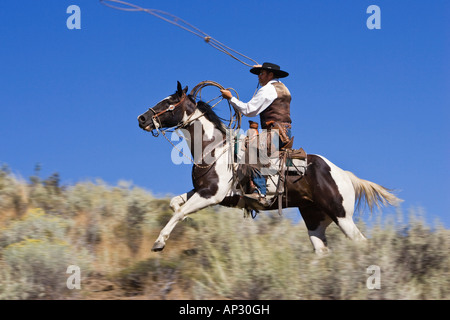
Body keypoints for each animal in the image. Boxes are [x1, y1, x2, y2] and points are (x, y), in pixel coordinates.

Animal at [137, 82, 400, 255]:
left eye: (170, 102)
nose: (142, 118)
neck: (213, 149)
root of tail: (343, 174)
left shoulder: (211, 195)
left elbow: (179, 212)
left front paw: (159, 242)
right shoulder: (201, 191)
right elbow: (175, 204)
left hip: (342, 215)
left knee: (361, 243)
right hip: (314, 219)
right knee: (322, 251)